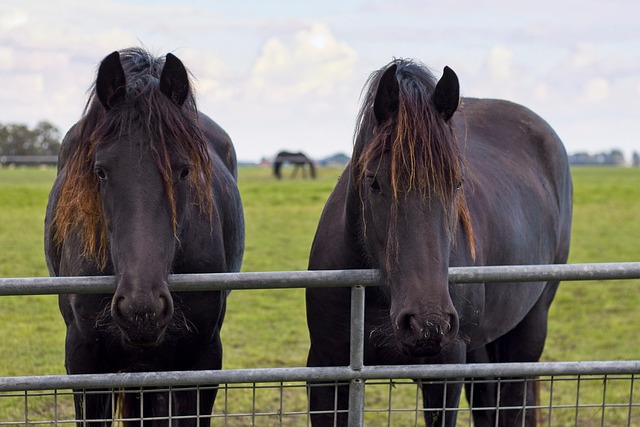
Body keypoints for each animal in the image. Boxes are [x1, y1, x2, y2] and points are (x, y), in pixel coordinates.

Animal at [306, 59, 572, 426]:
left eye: (457, 183)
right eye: (374, 183)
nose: (427, 324)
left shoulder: (444, 376)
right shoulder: (325, 372)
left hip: (529, 330)